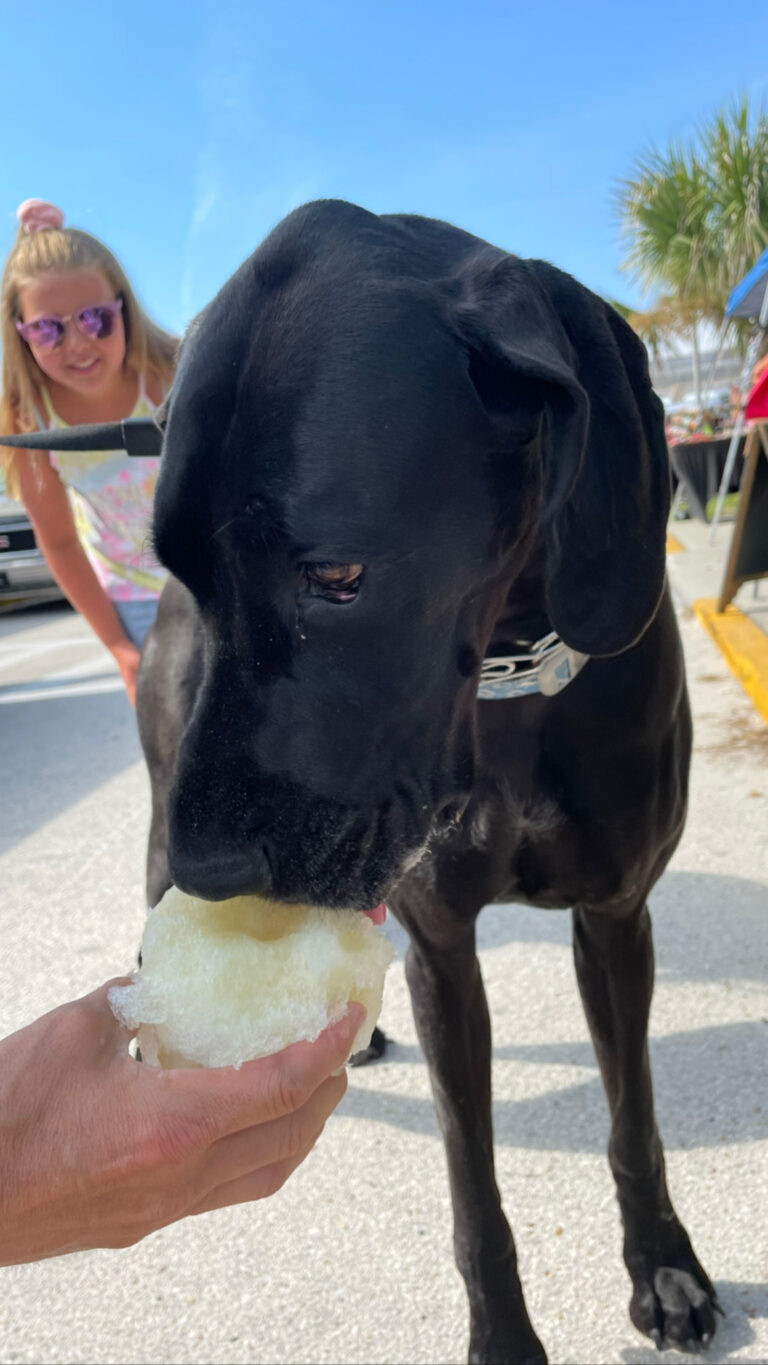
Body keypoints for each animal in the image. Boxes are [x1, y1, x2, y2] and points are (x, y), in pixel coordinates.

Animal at [135, 197, 720, 1359]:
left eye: (337, 575)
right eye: (184, 571)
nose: (210, 865)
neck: (516, 666)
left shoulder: (615, 916)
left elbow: (632, 1119)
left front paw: (663, 1262)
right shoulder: (442, 952)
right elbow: (472, 1187)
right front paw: (503, 1338)